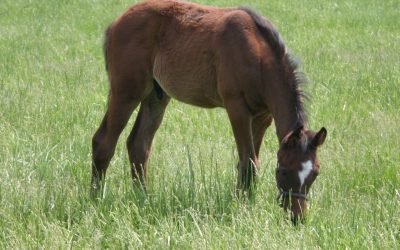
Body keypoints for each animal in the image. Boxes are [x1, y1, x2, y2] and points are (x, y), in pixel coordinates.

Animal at [91, 0, 328, 223]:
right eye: (285, 170)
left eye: (315, 172)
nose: (298, 218)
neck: (258, 57)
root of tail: (115, 24)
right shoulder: (237, 108)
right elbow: (248, 162)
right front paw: (243, 210)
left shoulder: (262, 116)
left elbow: (253, 160)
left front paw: (246, 201)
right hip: (127, 92)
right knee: (103, 142)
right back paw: (95, 200)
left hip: (156, 96)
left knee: (139, 145)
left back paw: (142, 198)